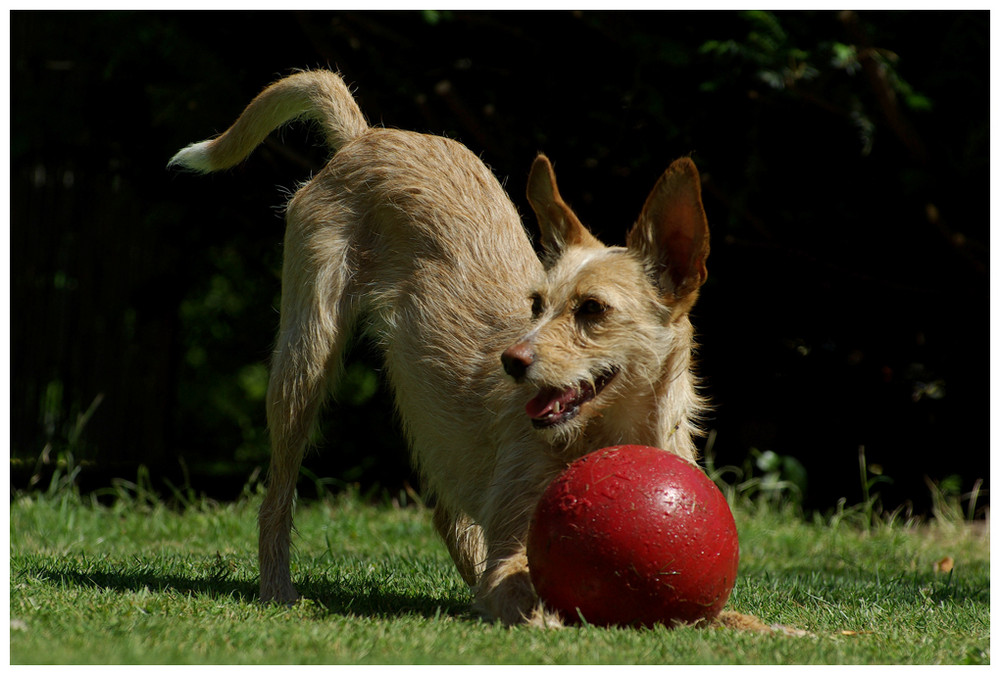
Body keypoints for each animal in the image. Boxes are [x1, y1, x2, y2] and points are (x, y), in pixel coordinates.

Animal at [172, 70, 716, 628]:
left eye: (592, 309)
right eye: (537, 304)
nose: (511, 361)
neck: (604, 435)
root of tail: (366, 135)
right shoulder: (512, 552)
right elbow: (531, 598)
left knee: (445, 514)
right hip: (304, 361)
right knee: (276, 499)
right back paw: (277, 591)